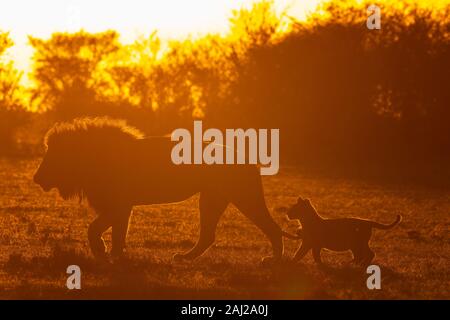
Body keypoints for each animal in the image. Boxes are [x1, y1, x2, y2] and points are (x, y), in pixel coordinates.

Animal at [33, 117, 290, 262]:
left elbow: (95, 229)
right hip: (213, 198)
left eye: (52, 156)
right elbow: (116, 232)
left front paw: (102, 252)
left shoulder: (119, 204)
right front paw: (114, 255)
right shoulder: (122, 206)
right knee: (208, 235)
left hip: (243, 197)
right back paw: (185, 258)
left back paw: (274, 260)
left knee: (272, 228)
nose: (36, 178)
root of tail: (248, 159)